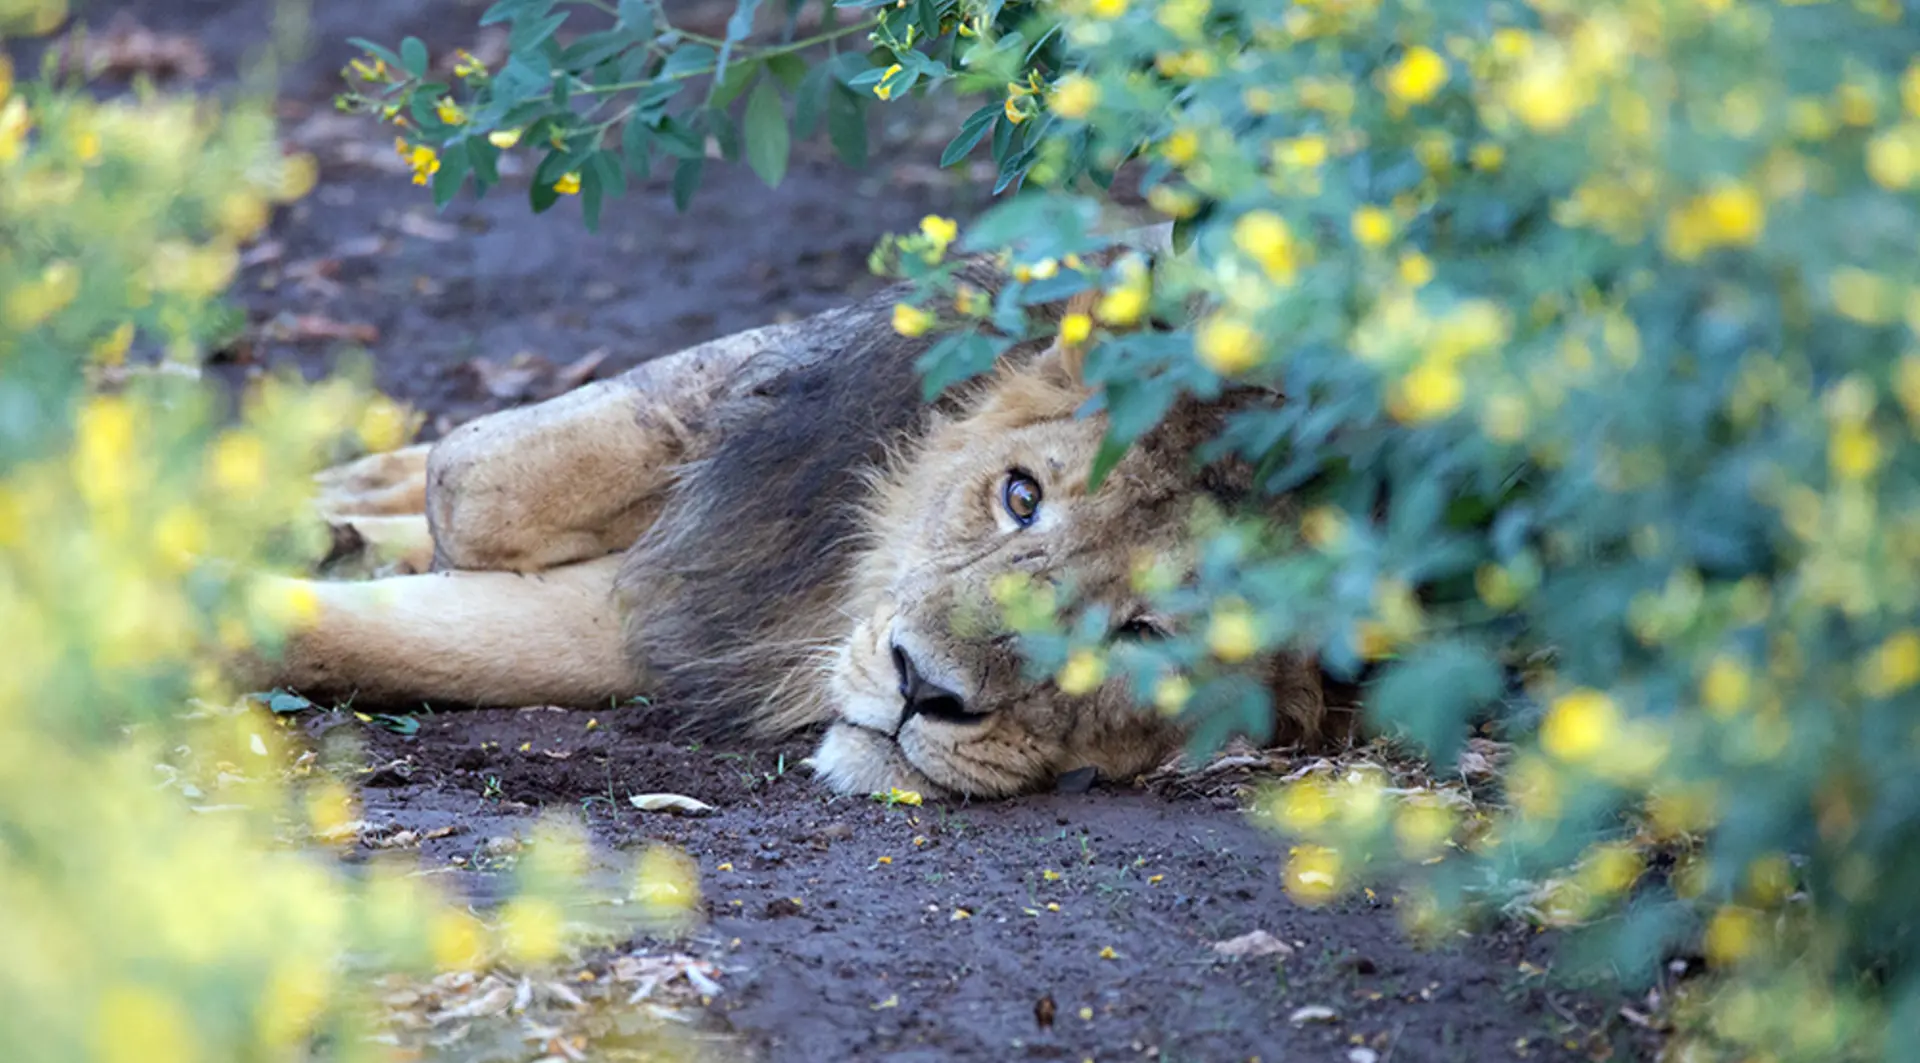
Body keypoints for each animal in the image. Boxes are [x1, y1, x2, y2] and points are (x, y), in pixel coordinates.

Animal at [257, 227, 1336, 799]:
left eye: (1149, 636)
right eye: (1020, 496)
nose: (919, 686)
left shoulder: (690, 618)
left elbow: (403, 635)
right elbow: (476, 478)